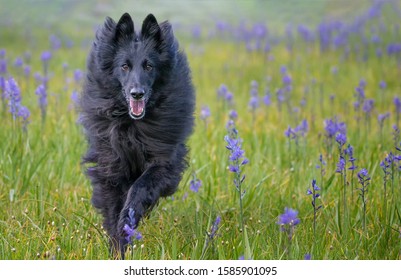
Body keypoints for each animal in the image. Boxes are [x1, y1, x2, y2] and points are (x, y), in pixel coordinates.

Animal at [79, 13, 195, 258]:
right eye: (124, 66)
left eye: (149, 66)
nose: (137, 93)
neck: (132, 126)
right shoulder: (111, 167)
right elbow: (112, 210)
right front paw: (118, 248)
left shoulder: (163, 162)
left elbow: (139, 188)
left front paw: (129, 218)